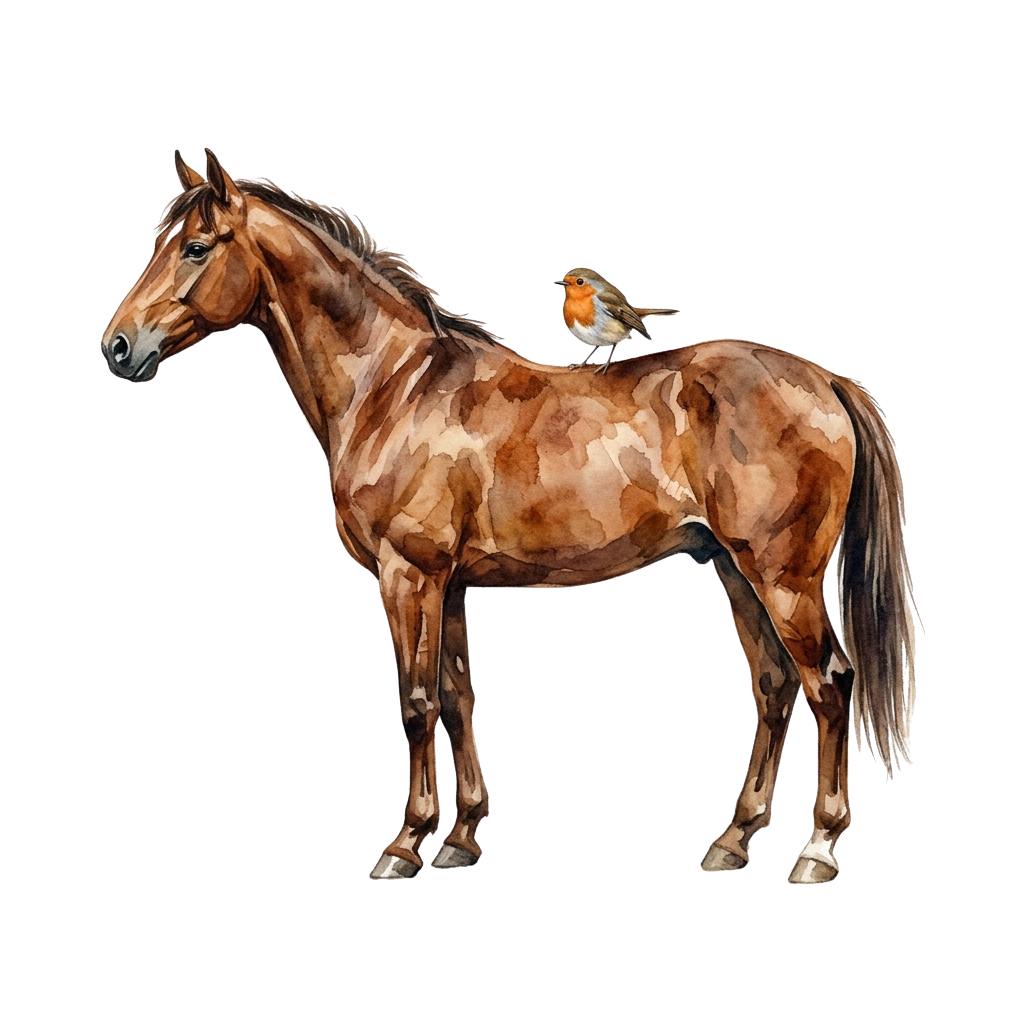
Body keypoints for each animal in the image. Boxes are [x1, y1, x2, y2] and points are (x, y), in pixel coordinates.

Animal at [101, 149, 918, 883]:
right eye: (160, 242)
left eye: (198, 247)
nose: (117, 347)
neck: (394, 387)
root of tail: (825, 378)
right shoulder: (452, 585)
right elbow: (459, 698)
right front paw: (461, 838)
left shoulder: (409, 576)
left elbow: (417, 701)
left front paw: (405, 845)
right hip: (731, 570)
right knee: (775, 690)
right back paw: (733, 840)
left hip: (783, 579)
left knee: (828, 688)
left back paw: (817, 851)